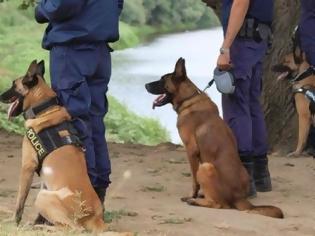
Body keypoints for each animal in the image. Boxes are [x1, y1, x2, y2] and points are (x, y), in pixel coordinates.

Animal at [0, 60, 133, 235]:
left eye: (13, 84)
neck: (44, 109)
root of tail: (96, 217)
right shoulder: (44, 176)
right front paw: (36, 220)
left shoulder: (27, 167)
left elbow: (19, 202)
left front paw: (14, 222)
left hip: (43, 197)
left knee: (74, 229)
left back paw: (43, 228)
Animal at [147, 58, 286, 218]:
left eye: (162, 80)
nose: (145, 85)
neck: (189, 99)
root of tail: (239, 197)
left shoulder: (191, 151)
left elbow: (194, 180)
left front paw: (192, 195)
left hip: (206, 167)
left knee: (219, 204)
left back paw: (195, 201)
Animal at [272, 28, 315, 158]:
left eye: (286, 61)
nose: (272, 67)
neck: (303, 76)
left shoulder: (304, 116)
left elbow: (301, 138)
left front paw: (297, 152)